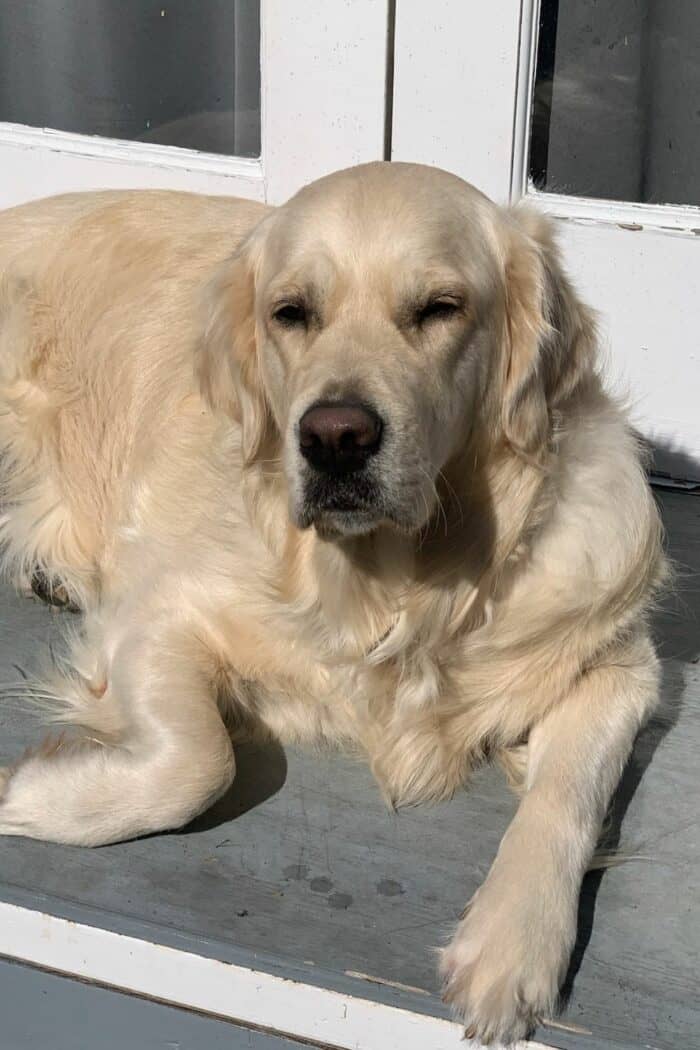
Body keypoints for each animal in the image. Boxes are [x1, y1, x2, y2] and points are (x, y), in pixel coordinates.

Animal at [0, 163, 667, 1041]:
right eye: (291, 312)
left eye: (440, 308)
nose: (335, 439)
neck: (398, 588)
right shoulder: (157, 610)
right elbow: (197, 763)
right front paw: (35, 797)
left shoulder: (618, 660)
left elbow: (570, 791)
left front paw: (512, 944)